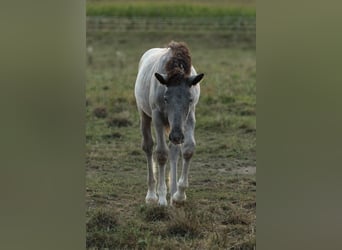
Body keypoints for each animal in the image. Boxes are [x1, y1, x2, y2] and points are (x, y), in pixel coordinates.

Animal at [134, 40, 203, 205]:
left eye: (190, 99)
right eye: (166, 98)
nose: (177, 136)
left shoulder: (189, 116)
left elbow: (188, 149)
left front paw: (179, 194)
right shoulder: (157, 116)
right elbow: (161, 153)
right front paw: (161, 198)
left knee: (174, 150)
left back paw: (172, 191)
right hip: (144, 114)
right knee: (148, 147)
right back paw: (151, 195)